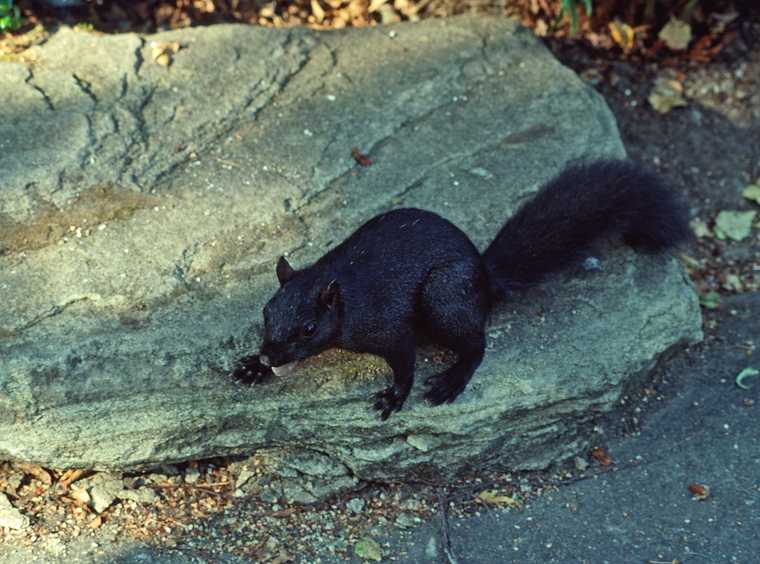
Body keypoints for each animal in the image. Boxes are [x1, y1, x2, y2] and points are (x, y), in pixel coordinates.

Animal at [235, 159, 692, 418]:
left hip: (443, 299)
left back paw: (451, 381)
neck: (344, 296)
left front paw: (394, 398)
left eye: (309, 329)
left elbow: (405, 363)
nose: (269, 354)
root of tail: (485, 278)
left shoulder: (389, 326)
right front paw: (253, 367)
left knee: (477, 346)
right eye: (266, 312)